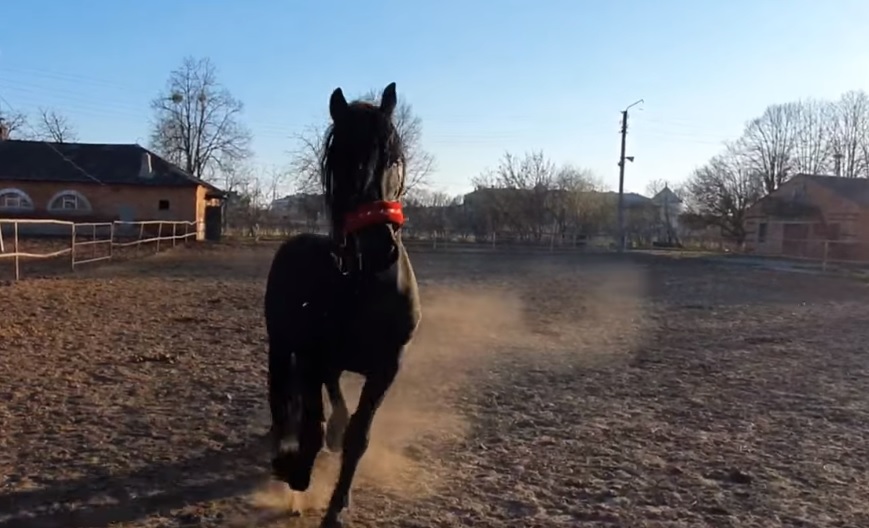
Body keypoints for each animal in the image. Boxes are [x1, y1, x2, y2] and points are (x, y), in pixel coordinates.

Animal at [262, 82, 422, 528]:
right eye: (337, 160)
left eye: (395, 158)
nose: (378, 247)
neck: (363, 285)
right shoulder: (310, 357)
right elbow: (311, 427)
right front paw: (295, 472)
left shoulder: (387, 367)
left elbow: (358, 437)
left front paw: (337, 507)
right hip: (282, 347)